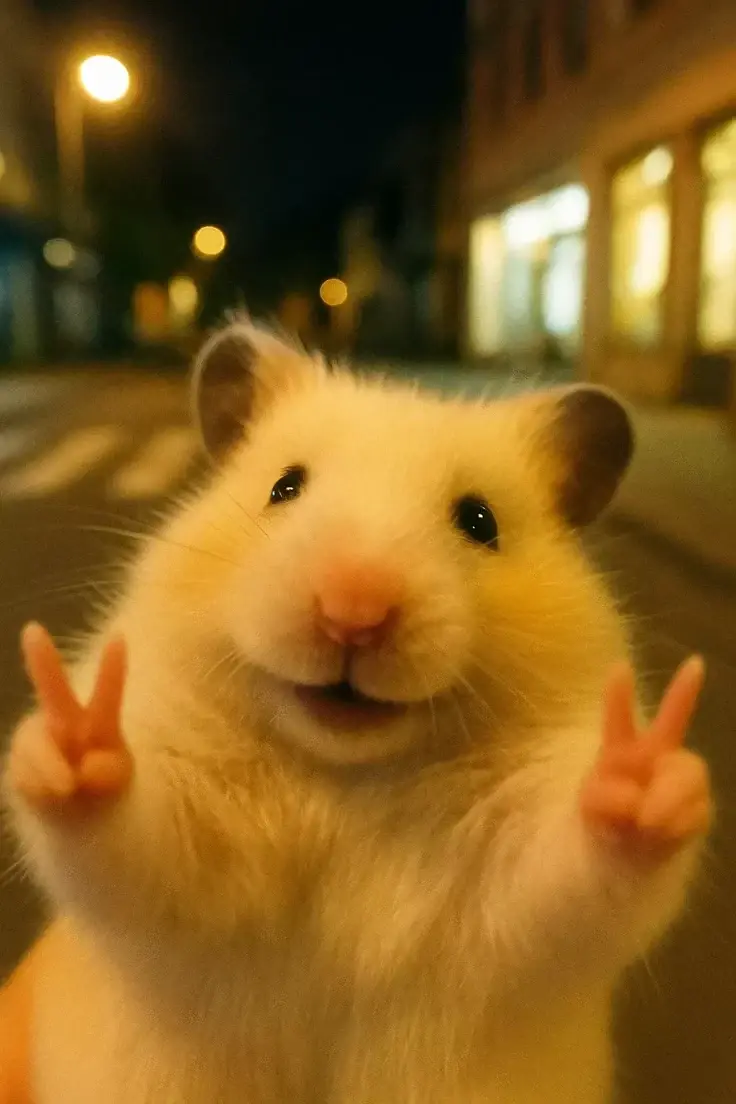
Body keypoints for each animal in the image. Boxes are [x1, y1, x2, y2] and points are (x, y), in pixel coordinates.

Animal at [1, 319, 712, 1104]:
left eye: (480, 521)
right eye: (284, 486)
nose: (353, 611)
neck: (347, 777)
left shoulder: (516, 898)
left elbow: (570, 862)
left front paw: (645, 772)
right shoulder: (183, 857)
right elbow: (132, 835)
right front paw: (72, 731)